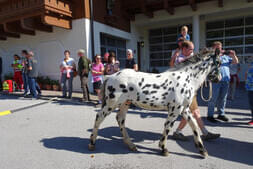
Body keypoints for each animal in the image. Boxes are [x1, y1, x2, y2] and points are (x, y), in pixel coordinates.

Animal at [88, 48, 220, 158]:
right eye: (219, 62)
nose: (218, 78)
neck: (187, 78)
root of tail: (110, 76)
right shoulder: (175, 109)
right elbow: (168, 127)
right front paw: (163, 149)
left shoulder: (184, 109)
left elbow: (194, 126)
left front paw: (202, 151)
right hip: (112, 103)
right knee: (99, 117)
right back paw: (92, 143)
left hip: (125, 103)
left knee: (120, 119)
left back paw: (131, 145)